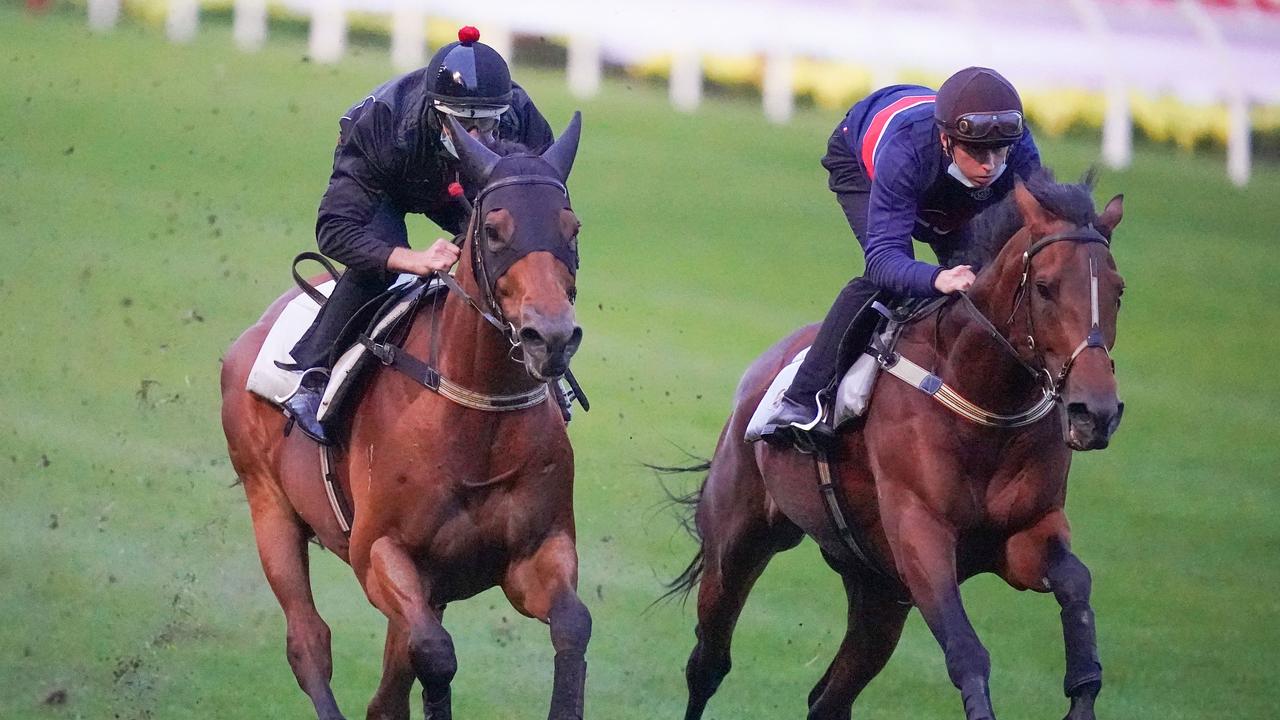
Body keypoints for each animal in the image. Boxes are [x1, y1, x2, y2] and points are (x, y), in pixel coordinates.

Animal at [224, 114, 588, 712]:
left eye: (571, 227)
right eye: (494, 230)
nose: (551, 336)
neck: (477, 421)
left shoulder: (533, 553)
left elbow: (572, 625)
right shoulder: (380, 554)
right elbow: (436, 654)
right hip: (268, 504)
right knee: (309, 642)